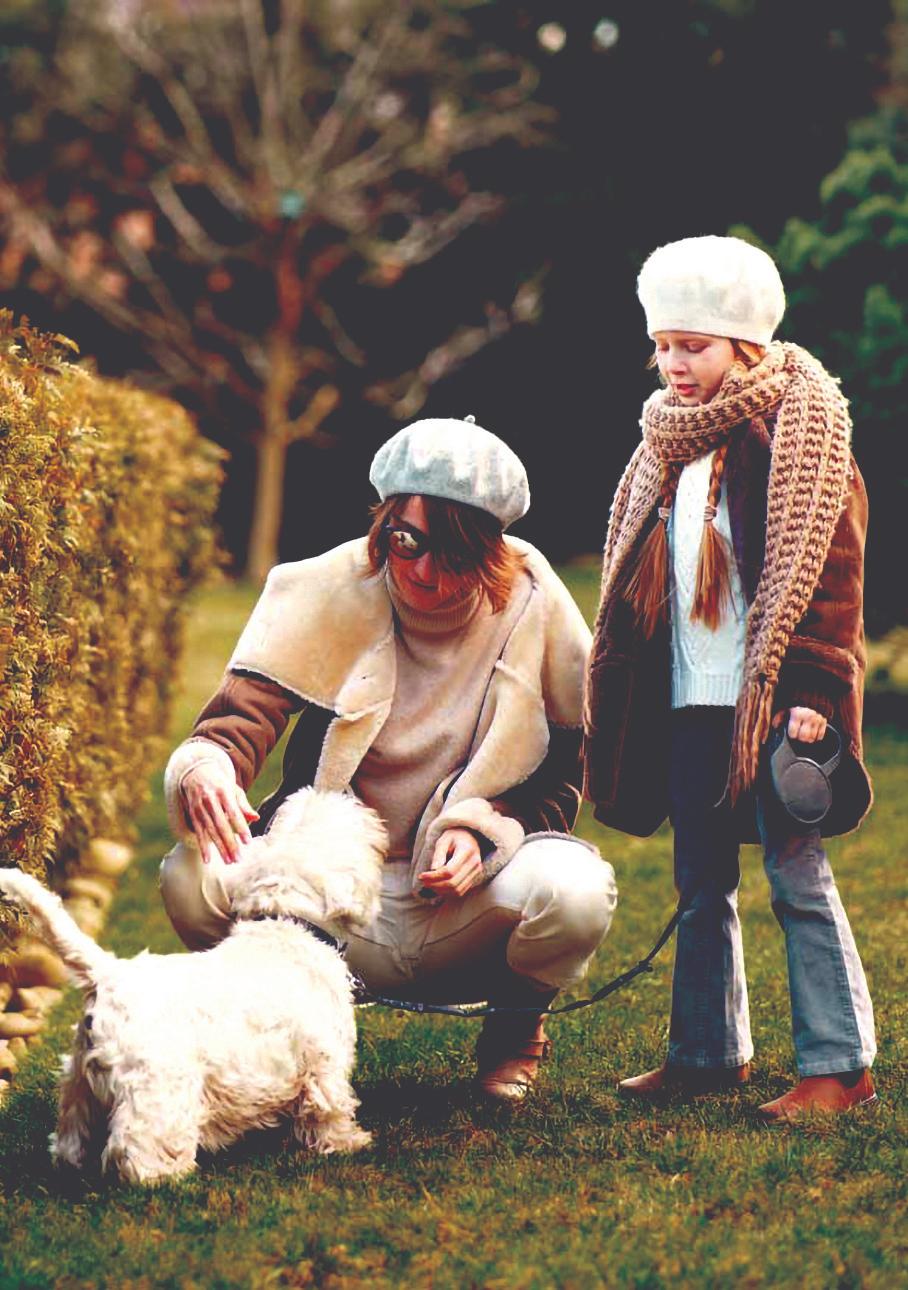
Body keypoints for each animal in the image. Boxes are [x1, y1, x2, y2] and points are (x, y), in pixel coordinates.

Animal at [0, 788, 388, 1184]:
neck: (287, 922)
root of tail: (108, 974)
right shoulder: (325, 1059)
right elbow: (329, 1108)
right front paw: (349, 1142)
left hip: (78, 1080)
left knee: (71, 1132)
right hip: (159, 1086)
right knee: (136, 1145)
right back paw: (169, 1174)